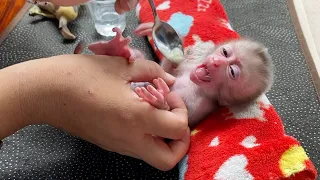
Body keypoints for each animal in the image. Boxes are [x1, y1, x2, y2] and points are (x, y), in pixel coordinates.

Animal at [82, 23, 272, 128]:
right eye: (225, 52)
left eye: (232, 72)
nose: (217, 61)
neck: (196, 85)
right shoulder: (187, 68)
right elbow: (168, 71)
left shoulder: (201, 105)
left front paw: (159, 99)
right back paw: (115, 48)